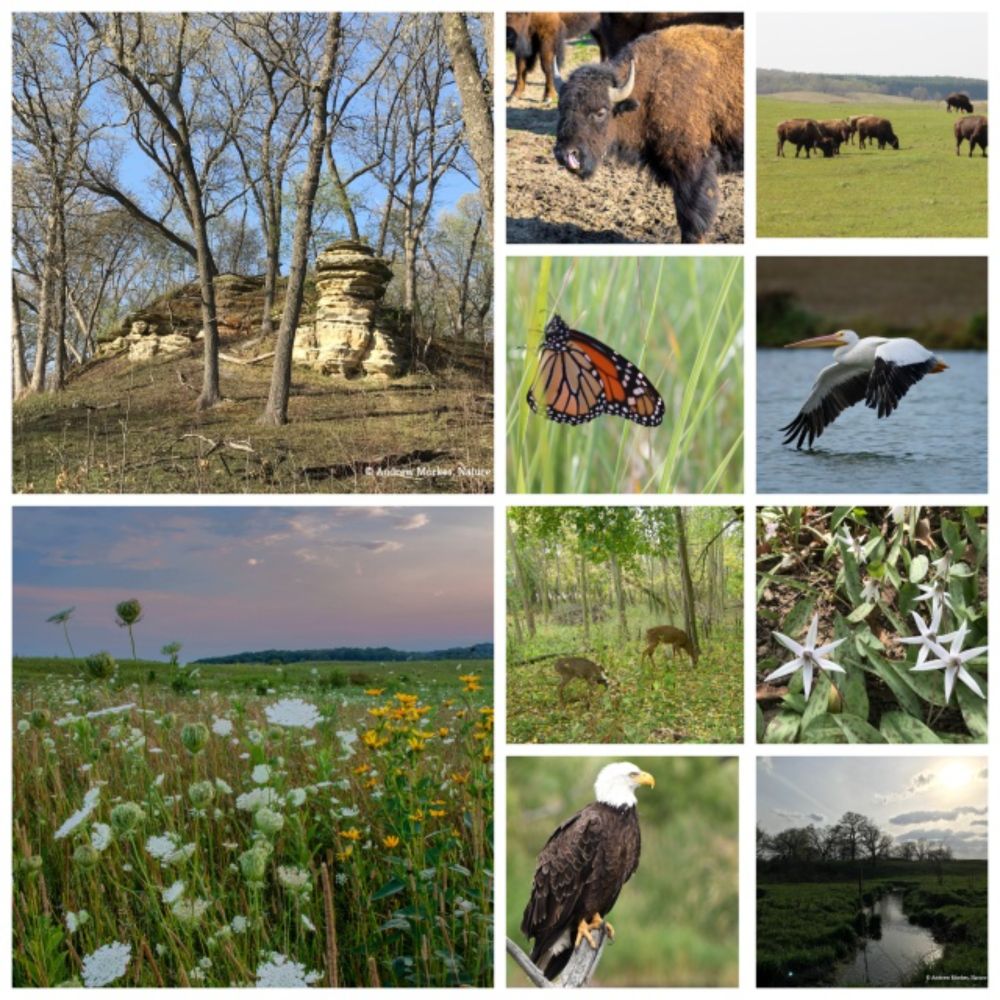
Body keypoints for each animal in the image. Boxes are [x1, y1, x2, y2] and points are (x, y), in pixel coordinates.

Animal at [556, 24, 744, 243]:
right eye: (562, 108)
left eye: (601, 112)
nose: (566, 154)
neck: (651, 86)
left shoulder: (692, 166)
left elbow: (692, 218)